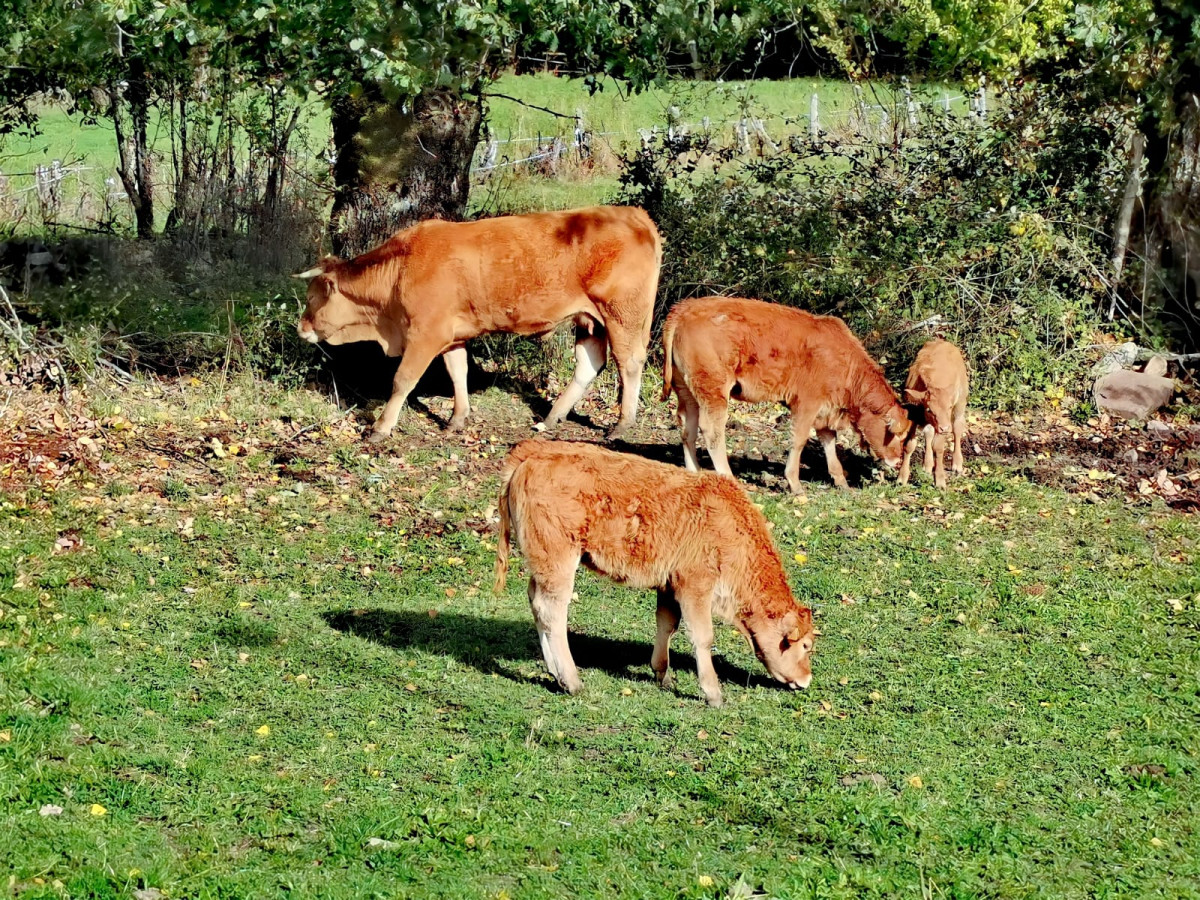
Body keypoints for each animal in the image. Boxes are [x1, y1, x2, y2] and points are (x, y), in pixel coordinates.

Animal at [294, 205, 662, 444]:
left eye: (312, 297)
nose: (301, 328)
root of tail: (634, 215)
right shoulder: (451, 334)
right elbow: (458, 373)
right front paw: (458, 418)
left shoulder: (425, 334)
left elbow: (402, 380)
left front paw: (381, 428)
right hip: (591, 320)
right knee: (590, 363)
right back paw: (553, 416)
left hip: (622, 314)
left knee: (629, 363)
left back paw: (622, 423)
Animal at [489, 441, 816, 710]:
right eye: (805, 646)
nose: (806, 680)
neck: (729, 525)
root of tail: (533, 452)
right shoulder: (696, 587)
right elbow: (703, 637)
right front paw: (713, 693)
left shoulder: (669, 585)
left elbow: (667, 624)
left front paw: (662, 674)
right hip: (559, 562)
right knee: (552, 612)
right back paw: (572, 680)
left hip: (543, 566)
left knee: (536, 604)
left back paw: (553, 671)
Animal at [667, 297, 907, 494]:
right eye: (895, 433)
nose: (897, 461)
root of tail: (684, 308)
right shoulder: (807, 403)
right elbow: (799, 440)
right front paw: (794, 483)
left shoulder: (826, 410)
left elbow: (829, 443)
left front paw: (840, 481)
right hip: (713, 391)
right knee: (712, 431)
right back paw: (727, 476)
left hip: (687, 392)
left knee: (687, 430)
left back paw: (693, 473)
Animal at [897, 340, 969, 494]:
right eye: (929, 409)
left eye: (948, 407)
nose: (945, 428)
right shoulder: (914, 416)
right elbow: (909, 445)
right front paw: (902, 478)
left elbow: (938, 447)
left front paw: (940, 481)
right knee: (929, 433)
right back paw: (927, 465)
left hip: (961, 402)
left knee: (957, 427)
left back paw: (957, 463)